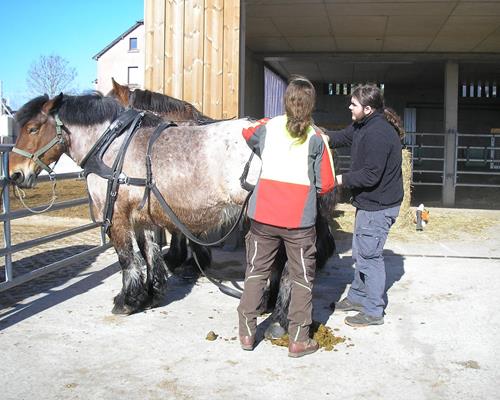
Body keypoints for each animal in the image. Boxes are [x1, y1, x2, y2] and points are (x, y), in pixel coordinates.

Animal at [8, 93, 336, 334]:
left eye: (33, 128)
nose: (15, 174)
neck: (113, 145)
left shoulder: (117, 216)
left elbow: (128, 259)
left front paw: (127, 301)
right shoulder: (143, 215)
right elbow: (149, 253)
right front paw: (152, 293)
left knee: (288, 265)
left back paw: (278, 316)